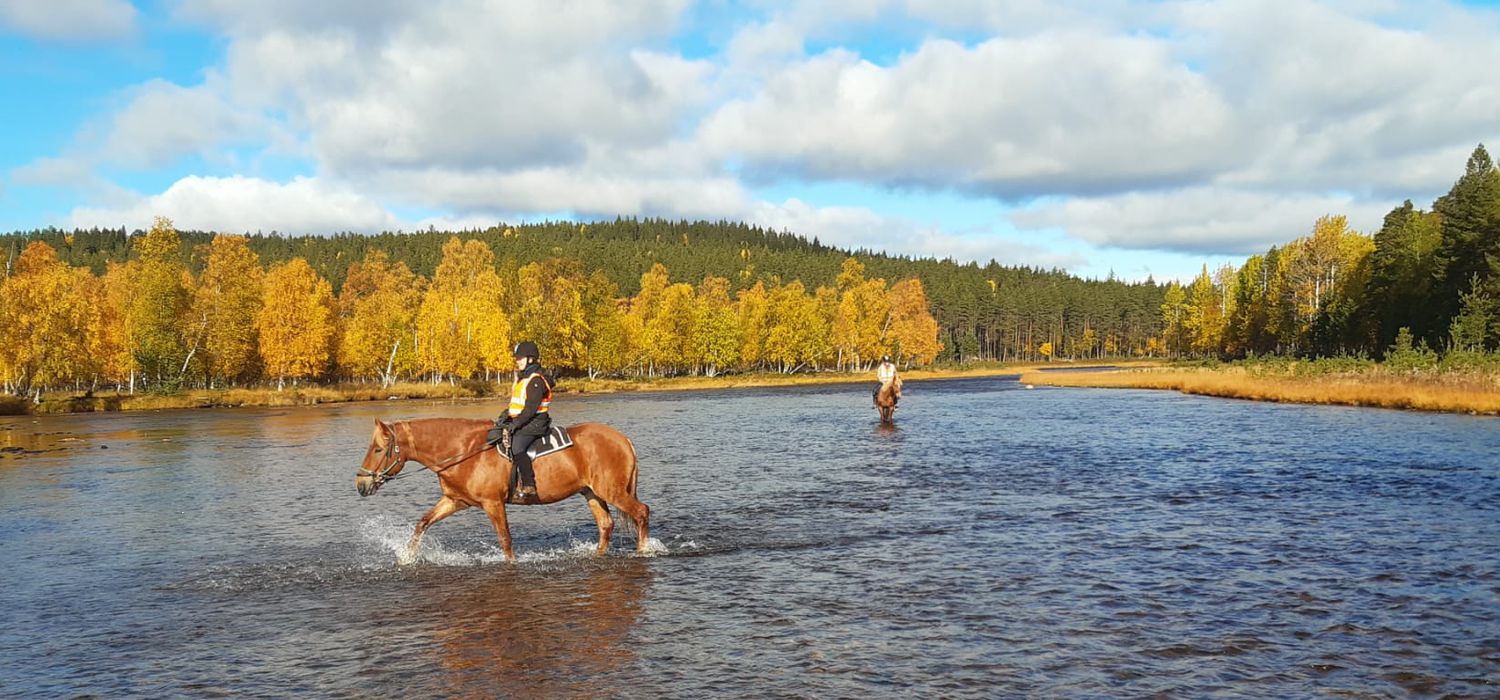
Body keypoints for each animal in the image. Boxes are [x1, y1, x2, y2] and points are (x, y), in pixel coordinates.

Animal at [360, 419, 654, 560]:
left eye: (378, 450)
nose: (361, 483)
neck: (466, 450)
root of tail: (623, 439)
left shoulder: (493, 503)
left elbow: (505, 539)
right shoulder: (454, 500)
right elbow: (422, 523)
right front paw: (407, 558)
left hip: (612, 491)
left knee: (642, 512)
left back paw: (643, 550)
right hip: (592, 493)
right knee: (606, 524)